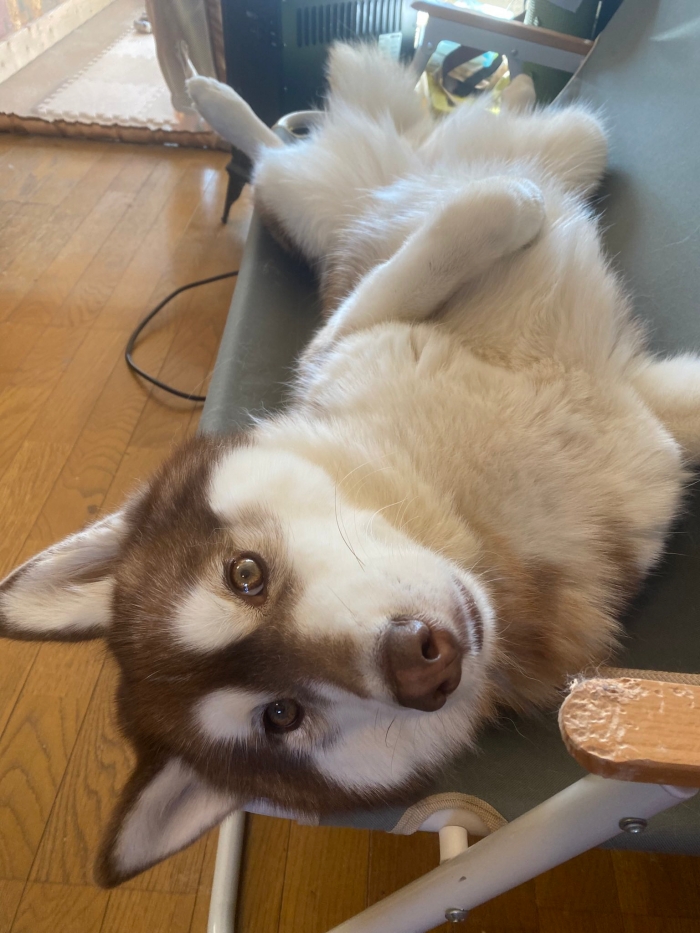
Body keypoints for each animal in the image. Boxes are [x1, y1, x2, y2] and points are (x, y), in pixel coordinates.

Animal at [2, 44, 699, 887]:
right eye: (282, 716)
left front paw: (502, 204)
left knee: (328, 144)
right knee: (277, 159)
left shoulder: (353, 338)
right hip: (317, 195)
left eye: (245, 575)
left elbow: (441, 239)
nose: (423, 662)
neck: (460, 508)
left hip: (562, 144)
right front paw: (507, 206)